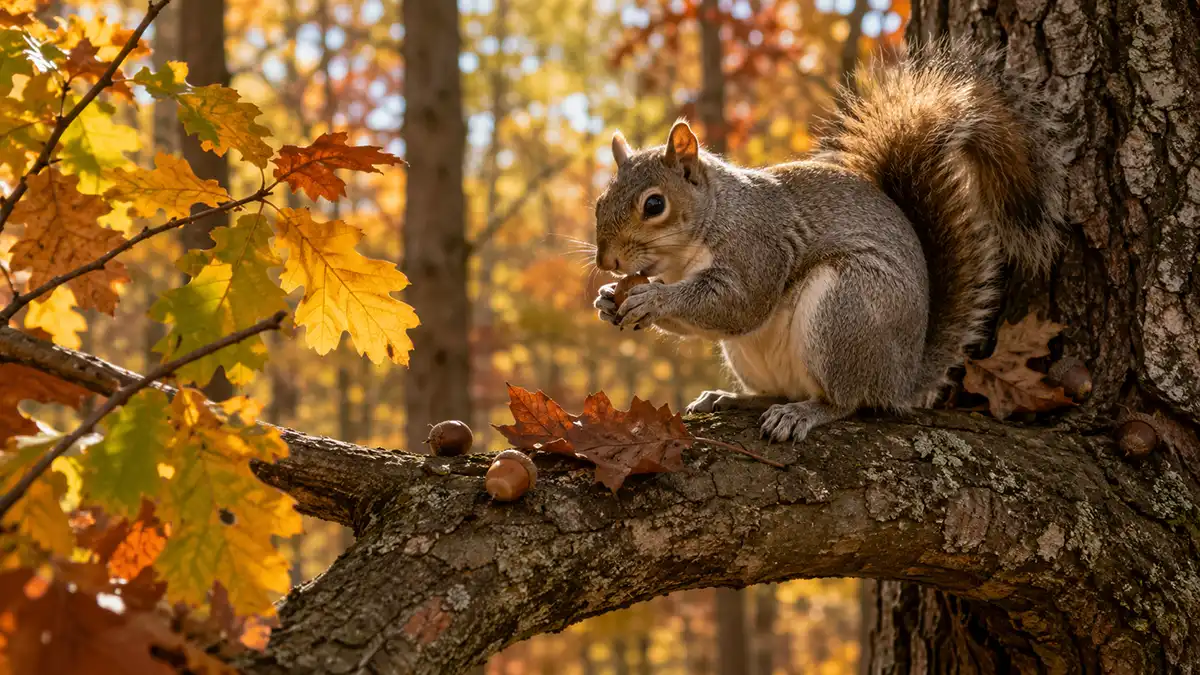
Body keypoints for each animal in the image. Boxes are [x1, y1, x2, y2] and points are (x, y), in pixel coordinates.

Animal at [591, 38, 1065, 443]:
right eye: (599, 202)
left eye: (654, 205)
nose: (607, 261)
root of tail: (903, 377)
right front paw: (607, 300)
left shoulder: (757, 244)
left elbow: (739, 304)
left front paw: (653, 299)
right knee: (781, 390)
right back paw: (734, 398)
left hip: (845, 309)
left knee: (848, 401)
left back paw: (803, 413)